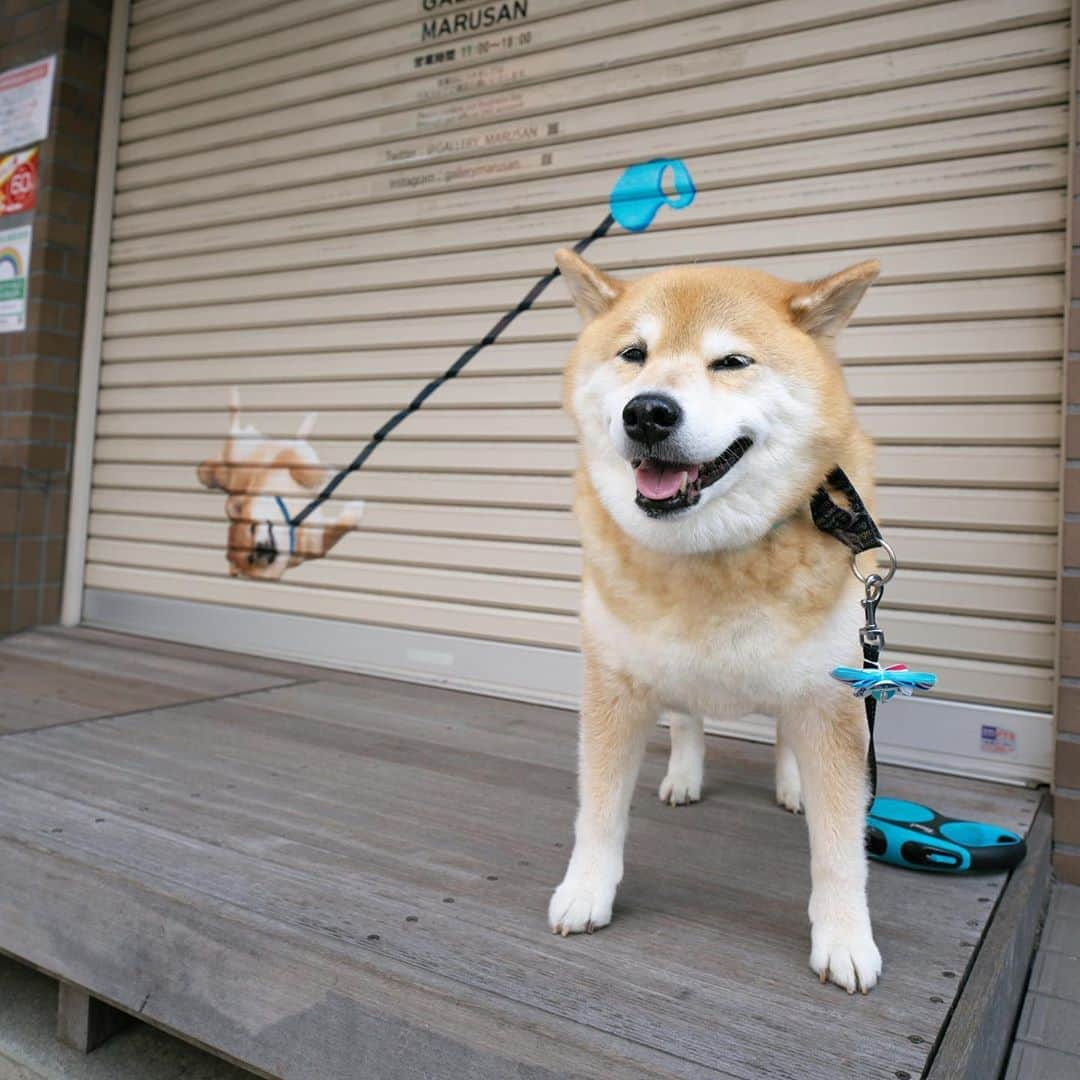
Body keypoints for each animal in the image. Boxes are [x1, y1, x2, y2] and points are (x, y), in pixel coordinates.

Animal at [194, 390, 362, 578]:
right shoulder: (317, 543)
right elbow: (338, 529)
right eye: (250, 559)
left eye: (252, 528)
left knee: (236, 424)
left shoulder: (281, 462)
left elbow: (301, 468)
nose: (260, 549)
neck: (291, 522)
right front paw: (356, 509)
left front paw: (321, 474)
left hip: (237, 451)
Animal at [548, 248, 885, 989]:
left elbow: (841, 848)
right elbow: (598, 812)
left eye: (731, 362)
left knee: (783, 734)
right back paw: (684, 775)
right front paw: (585, 892)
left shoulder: (832, 697)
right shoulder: (613, 684)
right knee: (688, 719)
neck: (710, 557)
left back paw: (791, 784)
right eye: (634, 354)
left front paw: (846, 938)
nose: (647, 411)